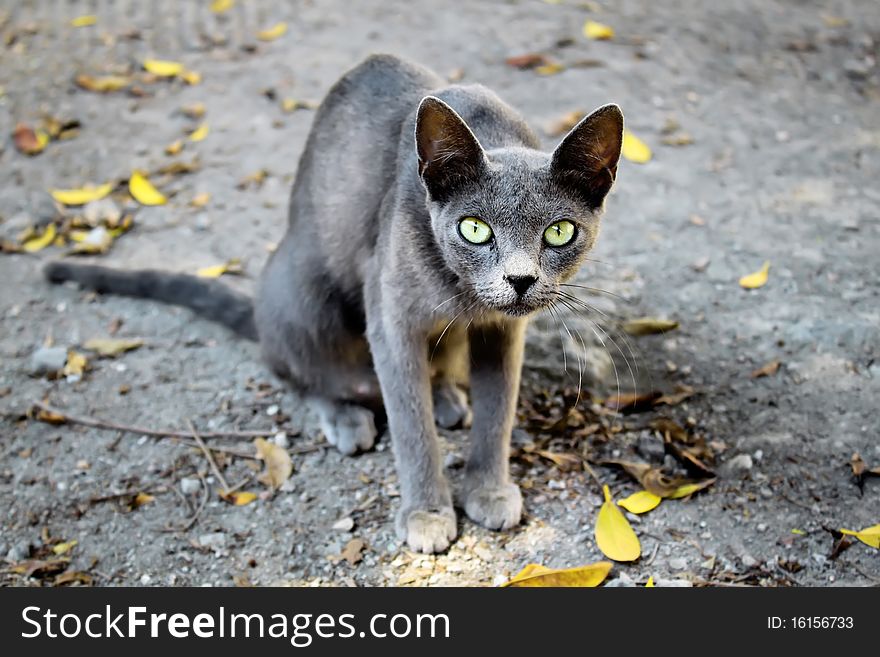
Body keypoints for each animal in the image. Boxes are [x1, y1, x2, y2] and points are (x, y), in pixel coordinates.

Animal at [44, 53, 624, 552]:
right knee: (298, 369)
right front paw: (427, 515)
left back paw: (446, 398)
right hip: (304, 293)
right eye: (474, 228)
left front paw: (488, 490)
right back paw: (347, 415)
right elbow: (411, 429)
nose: (520, 280)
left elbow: (497, 413)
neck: (464, 294)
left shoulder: (501, 331)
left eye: (559, 232)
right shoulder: (390, 317)